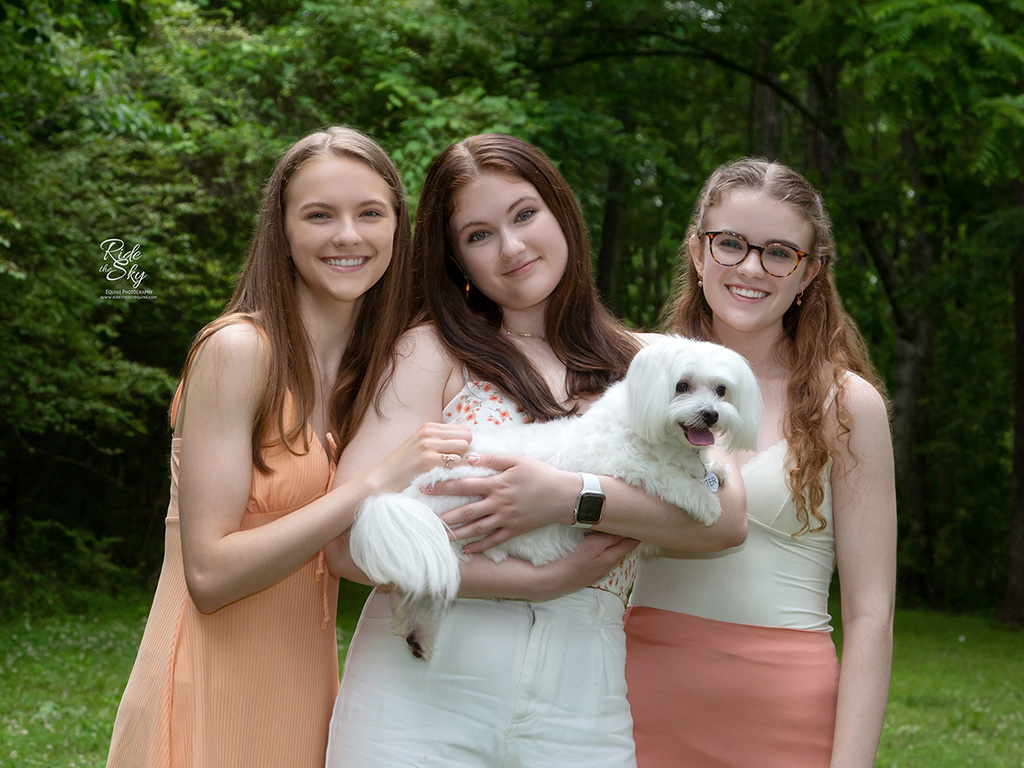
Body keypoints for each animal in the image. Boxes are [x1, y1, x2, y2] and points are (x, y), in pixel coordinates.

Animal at [352, 335, 761, 663]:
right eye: (682, 385)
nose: (710, 415)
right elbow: (667, 478)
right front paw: (704, 500)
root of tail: (409, 495)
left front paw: (715, 471)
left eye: (721, 390)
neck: (645, 425)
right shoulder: (623, 465)